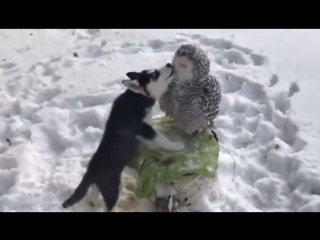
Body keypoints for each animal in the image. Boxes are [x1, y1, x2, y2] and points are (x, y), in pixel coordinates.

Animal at [62, 63, 185, 212]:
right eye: (154, 74)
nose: (169, 64)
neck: (136, 98)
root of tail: (91, 170)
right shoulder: (142, 129)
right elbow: (160, 138)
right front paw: (177, 146)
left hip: (100, 186)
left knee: (94, 194)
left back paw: (94, 202)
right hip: (112, 189)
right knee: (109, 207)